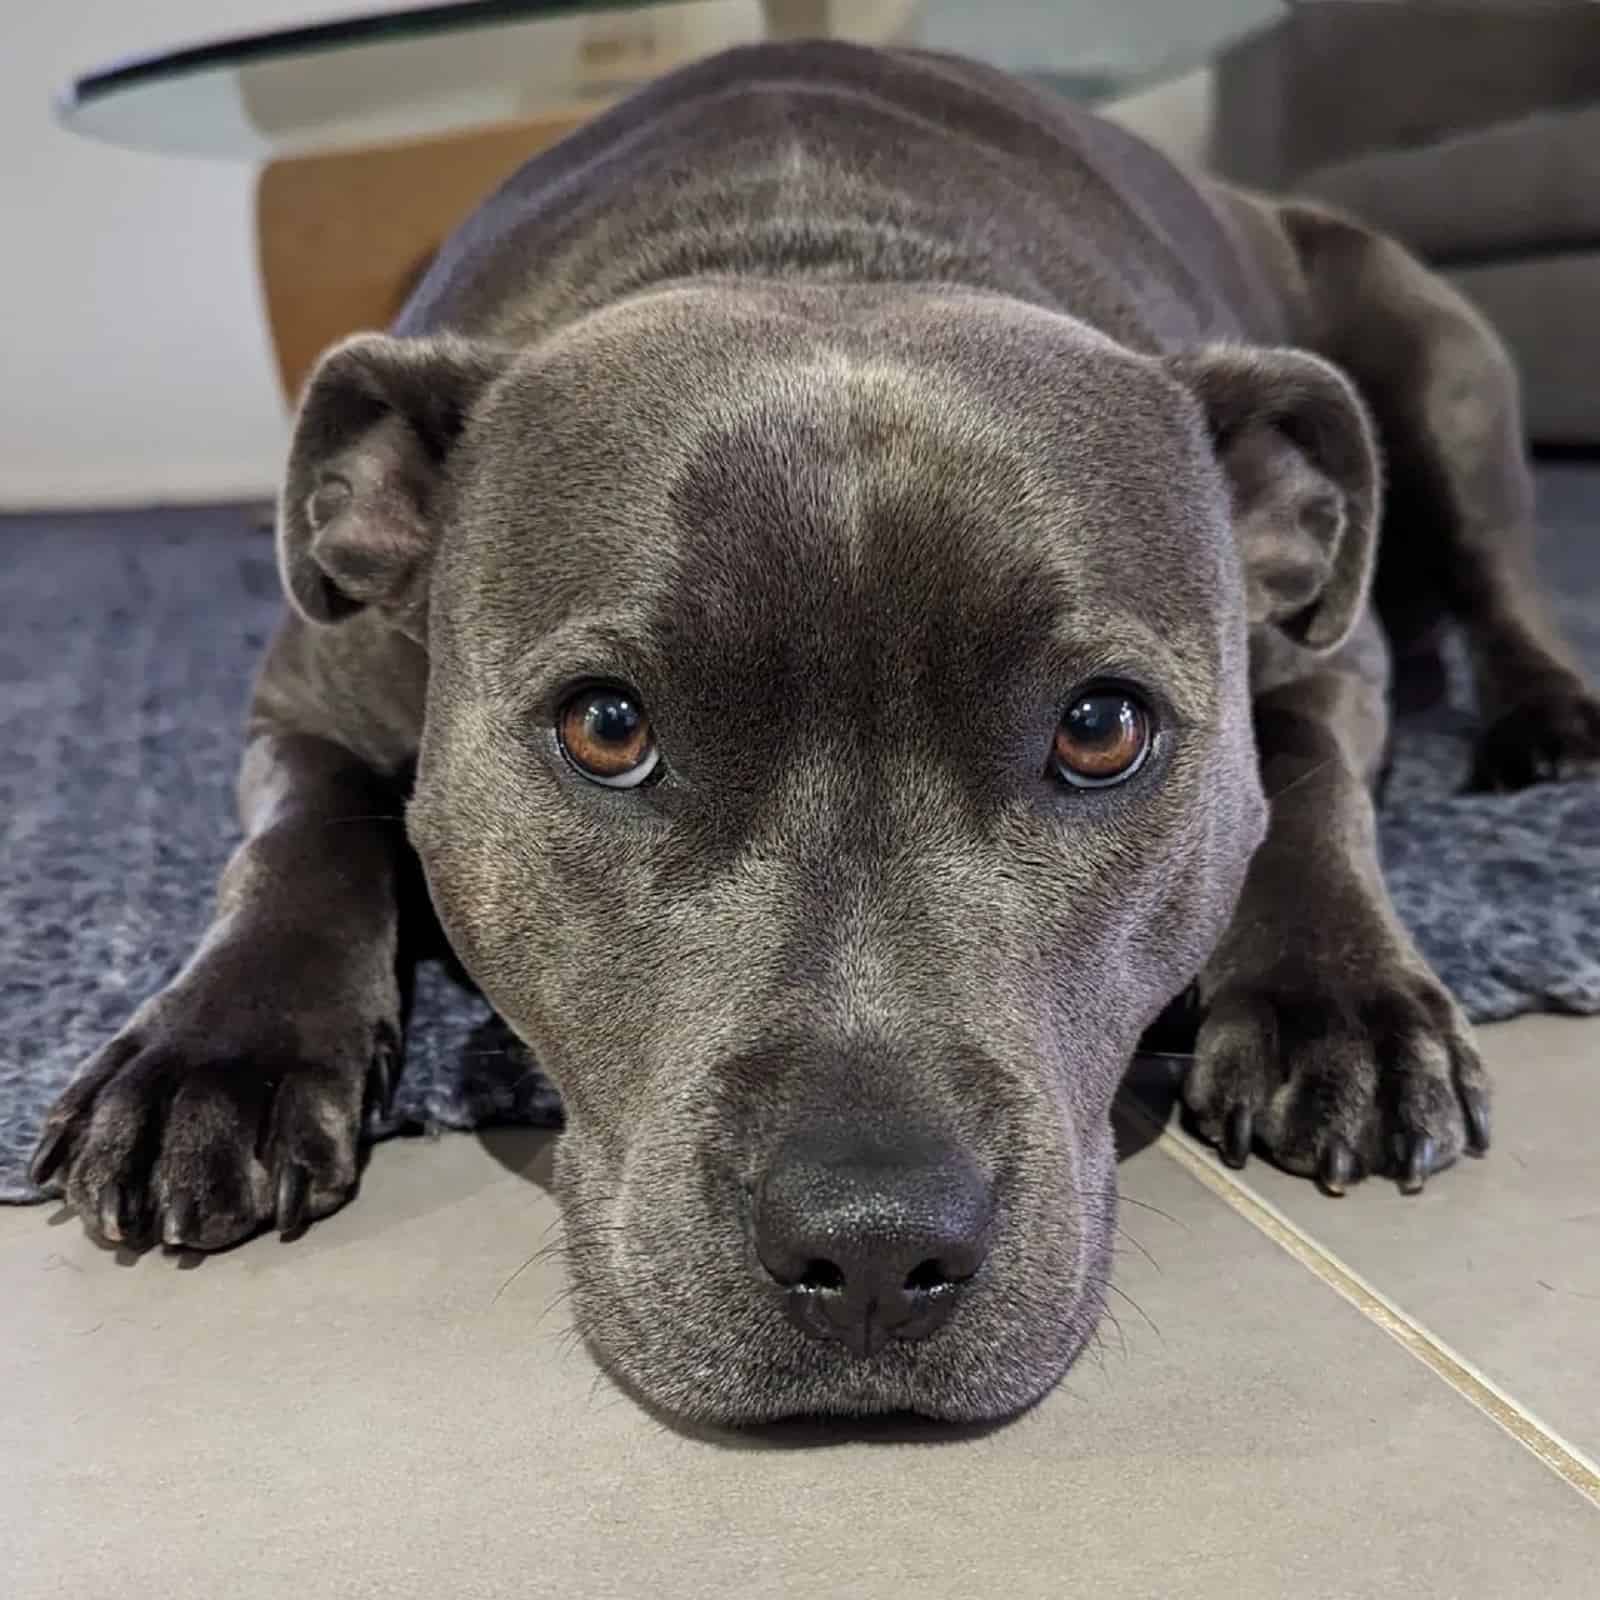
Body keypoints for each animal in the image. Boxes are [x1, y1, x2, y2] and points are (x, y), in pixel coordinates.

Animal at [28, 43, 1600, 1427]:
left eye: (1102, 730)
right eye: (606, 727)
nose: (875, 1244)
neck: (821, 248)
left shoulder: (1329, 655)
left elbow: (1313, 788)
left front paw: (1340, 1008)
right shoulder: (306, 691)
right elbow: (299, 840)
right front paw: (218, 1057)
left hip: (1442, 369)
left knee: (1502, 575)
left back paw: (1550, 726)